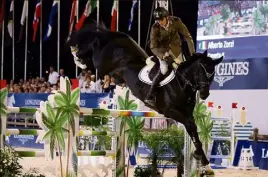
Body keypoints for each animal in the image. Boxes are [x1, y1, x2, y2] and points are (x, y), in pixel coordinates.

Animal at [67, 21, 224, 173]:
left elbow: (193, 131)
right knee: (94, 46)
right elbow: (191, 126)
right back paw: (77, 56)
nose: (204, 94)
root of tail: (117, 36)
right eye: (201, 72)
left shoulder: (188, 114)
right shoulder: (170, 111)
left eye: (212, 74)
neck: (181, 83)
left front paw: (205, 163)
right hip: (102, 63)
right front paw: (202, 160)